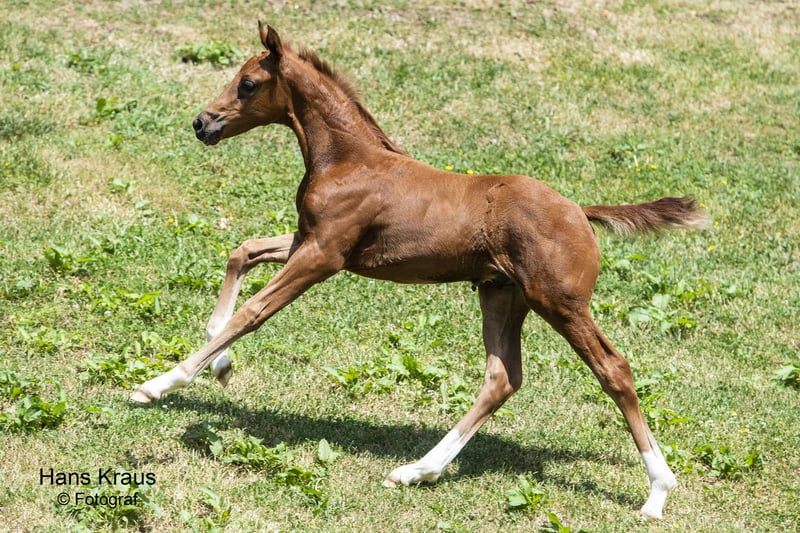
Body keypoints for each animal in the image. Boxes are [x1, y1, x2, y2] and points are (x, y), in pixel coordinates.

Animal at [132, 22, 709, 519]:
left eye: (248, 83)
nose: (202, 123)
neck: (349, 160)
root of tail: (581, 212)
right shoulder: (308, 240)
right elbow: (243, 251)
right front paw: (220, 361)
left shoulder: (325, 255)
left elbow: (254, 310)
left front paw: (162, 383)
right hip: (501, 294)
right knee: (502, 377)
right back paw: (417, 471)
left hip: (559, 302)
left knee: (614, 370)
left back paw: (658, 492)